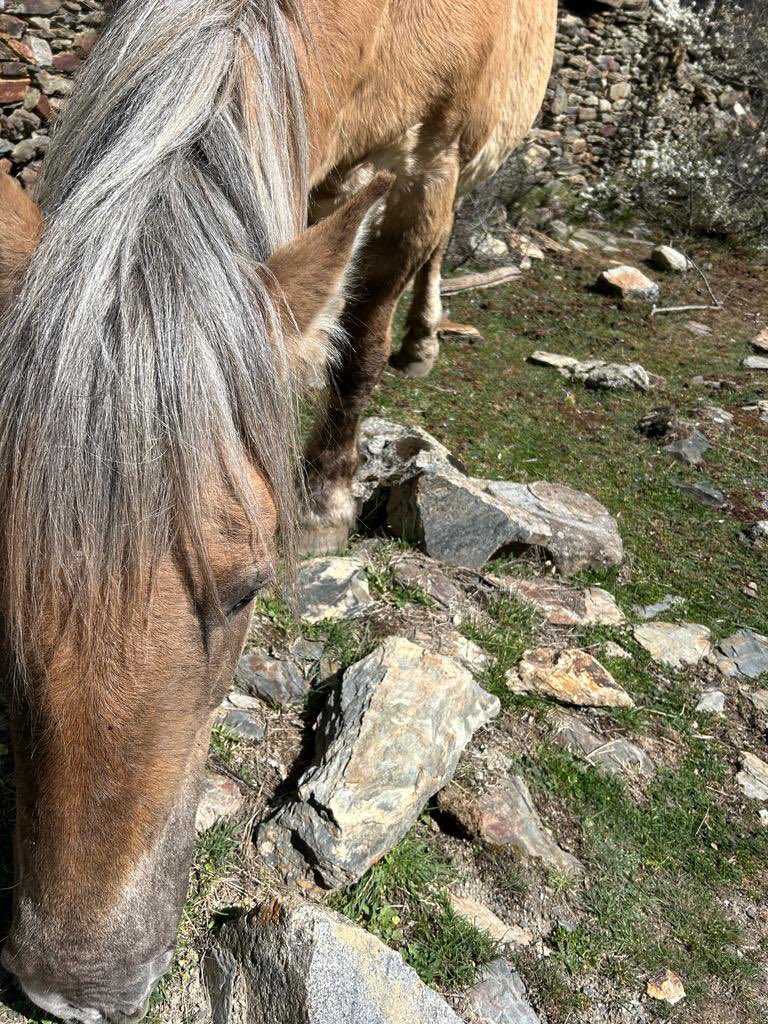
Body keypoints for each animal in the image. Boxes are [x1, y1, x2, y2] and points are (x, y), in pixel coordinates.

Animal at [0, 1, 557, 1020]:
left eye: (251, 588)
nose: (72, 988)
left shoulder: (422, 168)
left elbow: (361, 336)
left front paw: (330, 495)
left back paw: (425, 336)